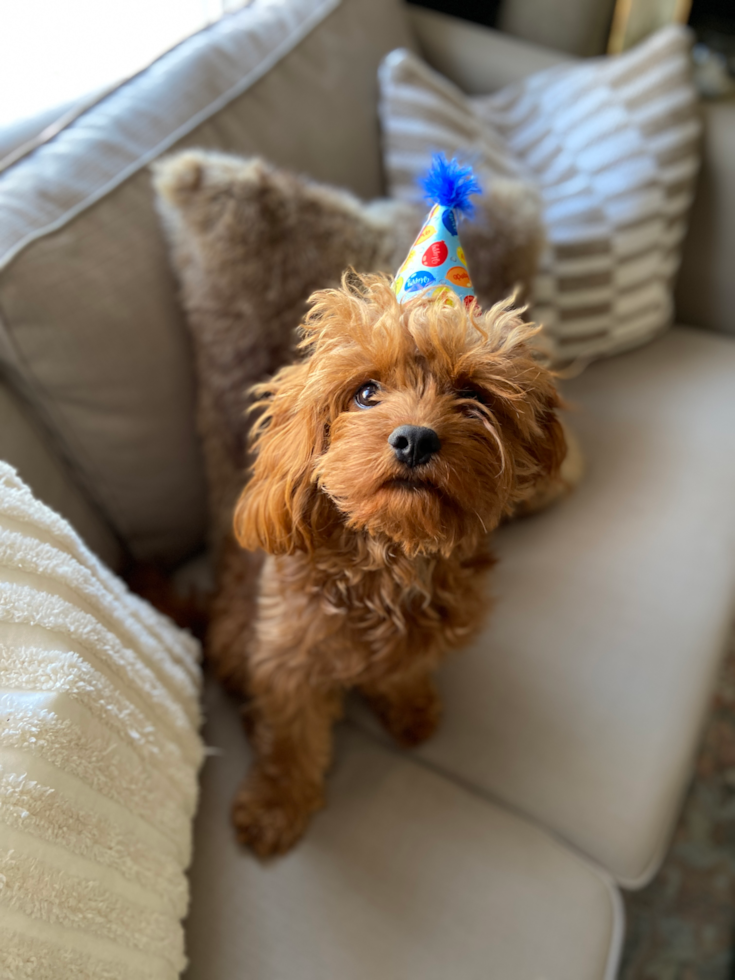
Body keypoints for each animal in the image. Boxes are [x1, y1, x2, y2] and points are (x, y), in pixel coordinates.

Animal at [221, 272, 568, 852]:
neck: (391, 558)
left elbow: (403, 670)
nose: (415, 439)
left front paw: (409, 707)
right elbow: (291, 741)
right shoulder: (287, 659)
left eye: (471, 394)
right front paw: (275, 807)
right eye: (366, 392)